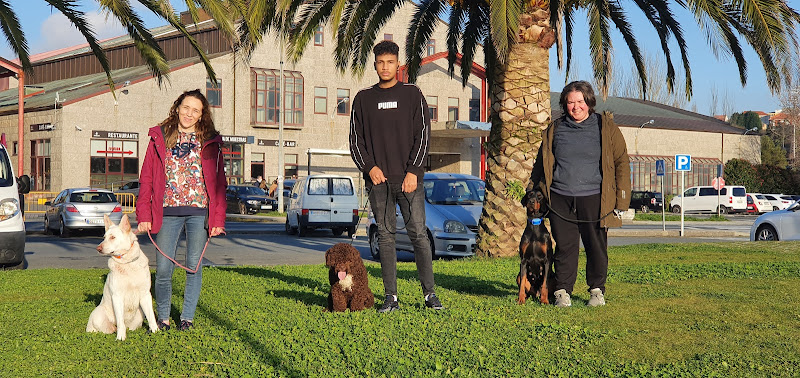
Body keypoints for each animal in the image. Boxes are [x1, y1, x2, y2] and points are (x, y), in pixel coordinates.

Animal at [86, 214, 158, 342]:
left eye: (113, 237)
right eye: (104, 237)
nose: (98, 248)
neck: (127, 263)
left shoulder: (145, 294)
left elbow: (151, 317)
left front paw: (156, 331)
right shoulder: (117, 296)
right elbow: (120, 323)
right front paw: (120, 337)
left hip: (139, 316)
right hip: (98, 316)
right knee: (110, 327)